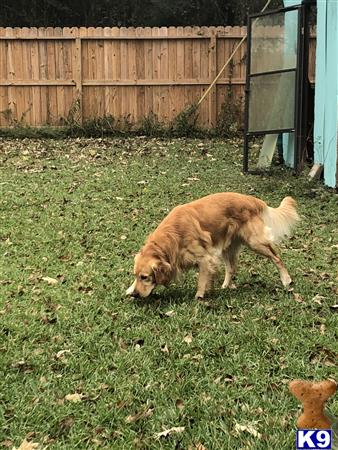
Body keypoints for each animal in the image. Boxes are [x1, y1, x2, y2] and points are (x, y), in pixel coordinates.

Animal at [126, 191, 298, 298]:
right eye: (136, 276)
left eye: (145, 277)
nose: (136, 295)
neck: (173, 236)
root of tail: (252, 199)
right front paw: (130, 288)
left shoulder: (204, 257)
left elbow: (202, 280)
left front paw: (199, 296)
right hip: (228, 247)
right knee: (231, 268)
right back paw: (225, 286)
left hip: (255, 242)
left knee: (276, 257)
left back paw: (286, 280)